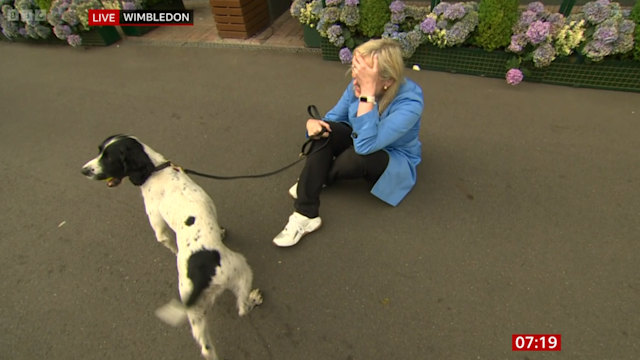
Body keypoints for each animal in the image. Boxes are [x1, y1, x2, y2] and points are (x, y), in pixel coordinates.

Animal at [82, 135, 262, 360]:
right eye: (100, 152)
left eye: (108, 157)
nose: (84, 170)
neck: (155, 169)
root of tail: (203, 276)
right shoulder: (161, 228)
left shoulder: (158, 227)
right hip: (241, 270)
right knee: (242, 308)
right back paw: (254, 298)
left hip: (197, 314)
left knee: (209, 346)